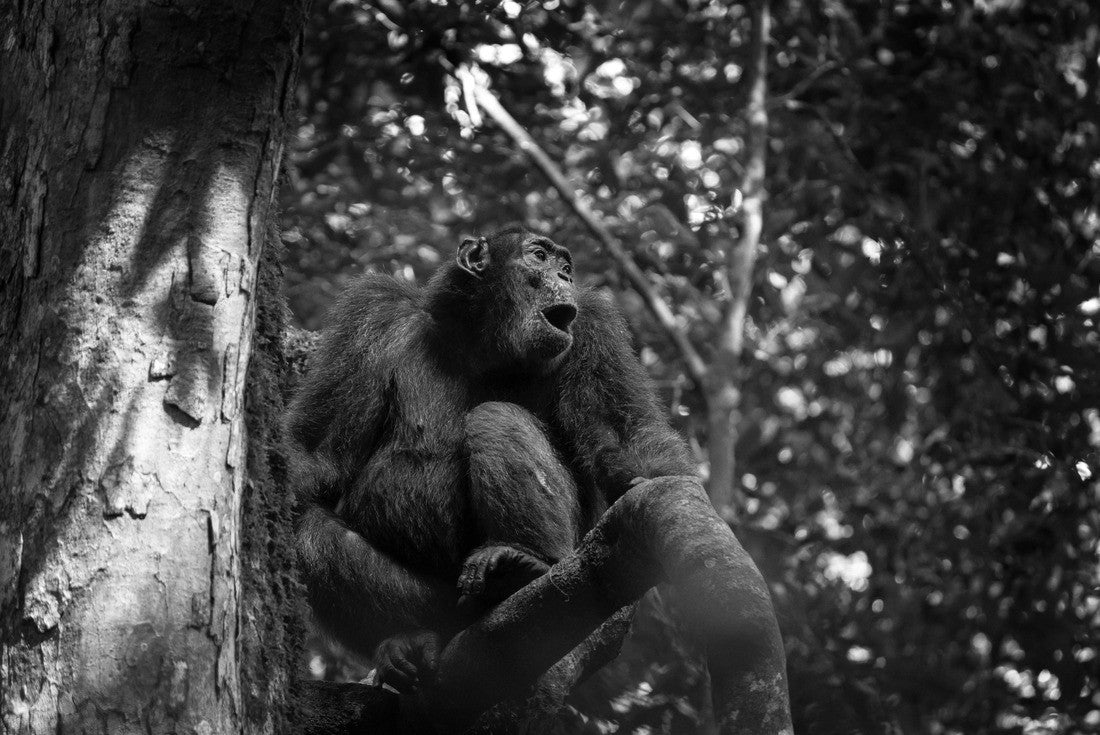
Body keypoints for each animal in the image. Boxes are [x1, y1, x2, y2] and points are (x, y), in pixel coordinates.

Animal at [287, 226, 694, 692]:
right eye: (539, 257)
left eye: (566, 267)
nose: (565, 277)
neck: (484, 344)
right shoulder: (370, 317)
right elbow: (319, 449)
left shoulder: (596, 329)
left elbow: (623, 437)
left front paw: (656, 488)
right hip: (435, 603)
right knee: (311, 532)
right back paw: (408, 639)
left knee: (496, 416)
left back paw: (521, 563)